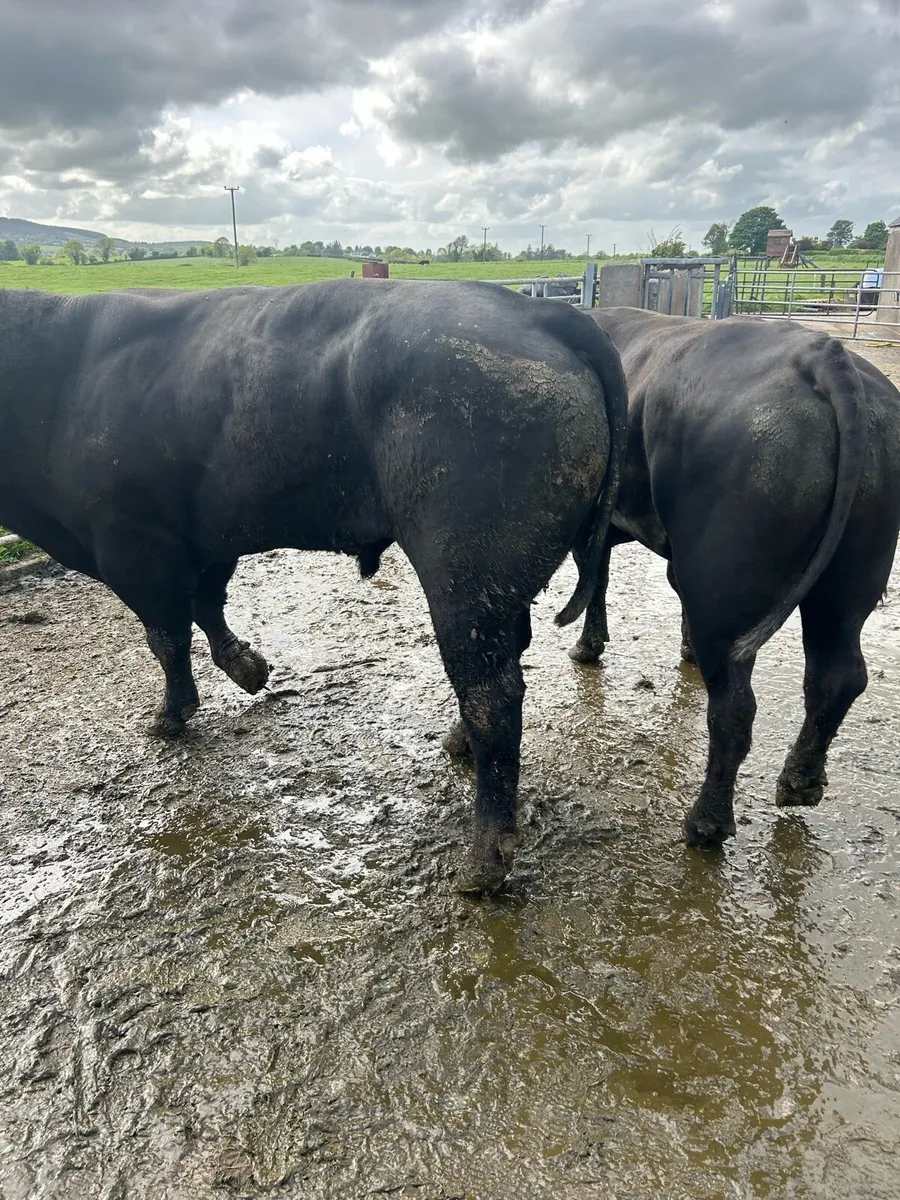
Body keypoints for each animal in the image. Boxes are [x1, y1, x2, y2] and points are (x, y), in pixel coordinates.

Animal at [0, 279, 626, 893]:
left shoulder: (135, 547)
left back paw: (483, 859)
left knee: (492, 695)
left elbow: (167, 638)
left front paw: (170, 715)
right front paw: (247, 667)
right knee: (506, 662)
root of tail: (540, 312)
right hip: (497, 586)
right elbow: (207, 606)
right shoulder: (205, 540)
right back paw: (458, 746)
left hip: (466, 574)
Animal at [567, 307, 900, 850]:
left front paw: (587, 647)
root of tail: (824, 354)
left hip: (724, 579)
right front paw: (679, 649)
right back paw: (800, 782)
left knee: (735, 706)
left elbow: (595, 579)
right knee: (838, 676)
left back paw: (706, 822)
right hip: (850, 578)